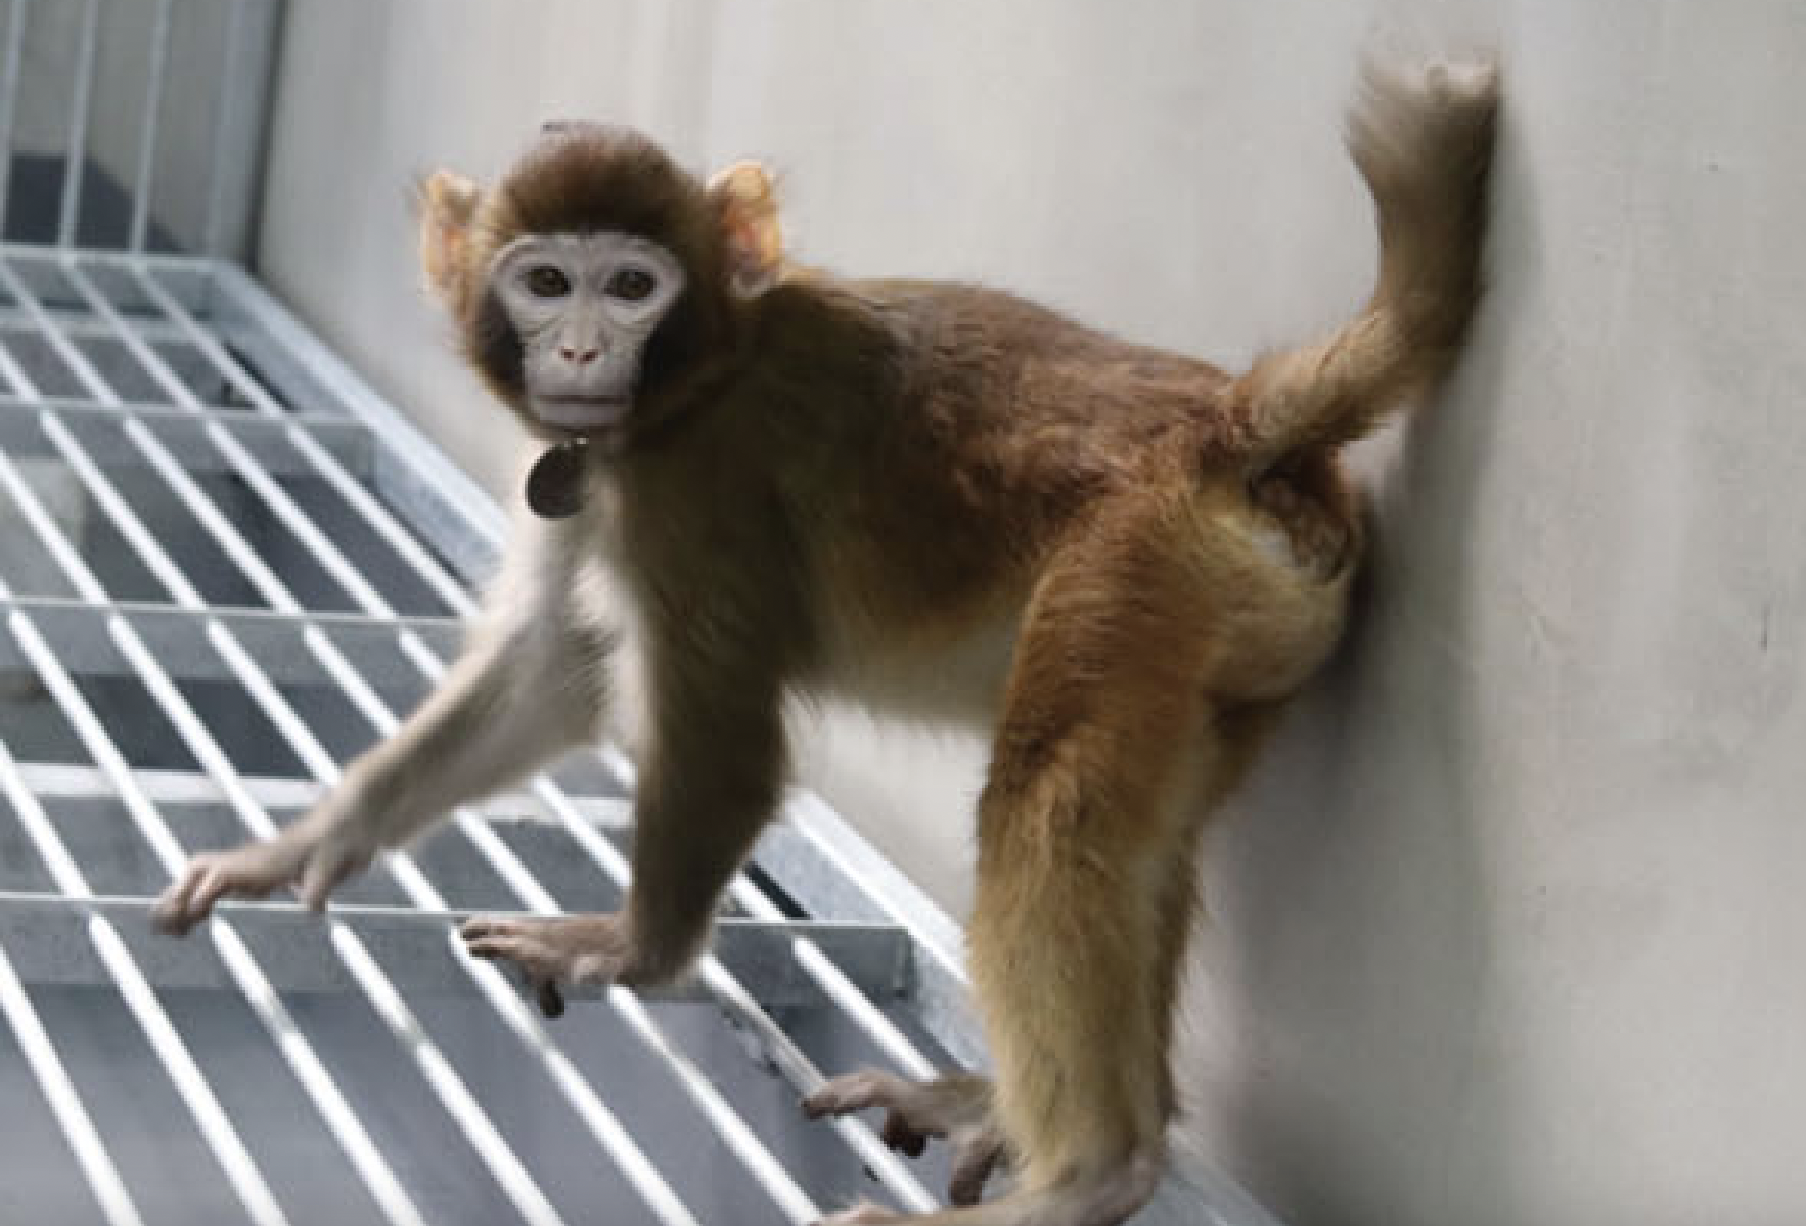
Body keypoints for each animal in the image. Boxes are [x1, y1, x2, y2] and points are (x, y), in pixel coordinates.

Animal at [152, 60, 1497, 1226]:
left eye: (628, 286)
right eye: (544, 282)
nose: (579, 349)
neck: (700, 374)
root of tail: (1229, 430)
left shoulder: (698, 490)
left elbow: (726, 737)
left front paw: (637, 950)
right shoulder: (601, 478)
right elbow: (551, 671)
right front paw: (303, 844)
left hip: (1134, 568)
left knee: (1049, 805)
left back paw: (1090, 1173)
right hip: (1221, 636)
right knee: (1136, 837)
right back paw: (1038, 1112)